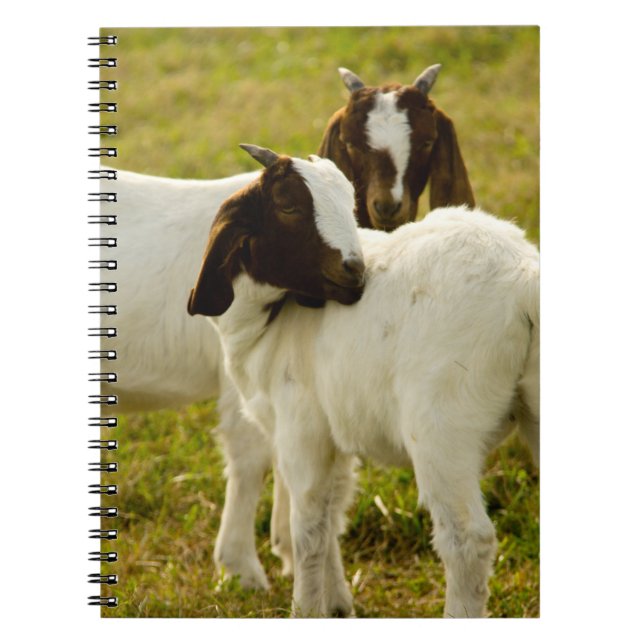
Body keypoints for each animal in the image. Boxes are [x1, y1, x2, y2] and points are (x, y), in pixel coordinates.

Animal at [102, 64, 476, 589]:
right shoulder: (237, 382)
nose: (388, 207)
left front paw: (287, 549)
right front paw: (243, 569)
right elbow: (254, 456)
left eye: (424, 141)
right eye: (352, 142)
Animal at [188, 145, 540, 617]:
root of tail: (523, 279)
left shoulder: (301, 429)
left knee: (467, 540)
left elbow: (307, 529)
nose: (356, 272)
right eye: (288, 204)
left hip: (443, 429)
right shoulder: (330, 435)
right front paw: (337, 606)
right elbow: (331, 517)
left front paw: (304, 610)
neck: (266, 322)